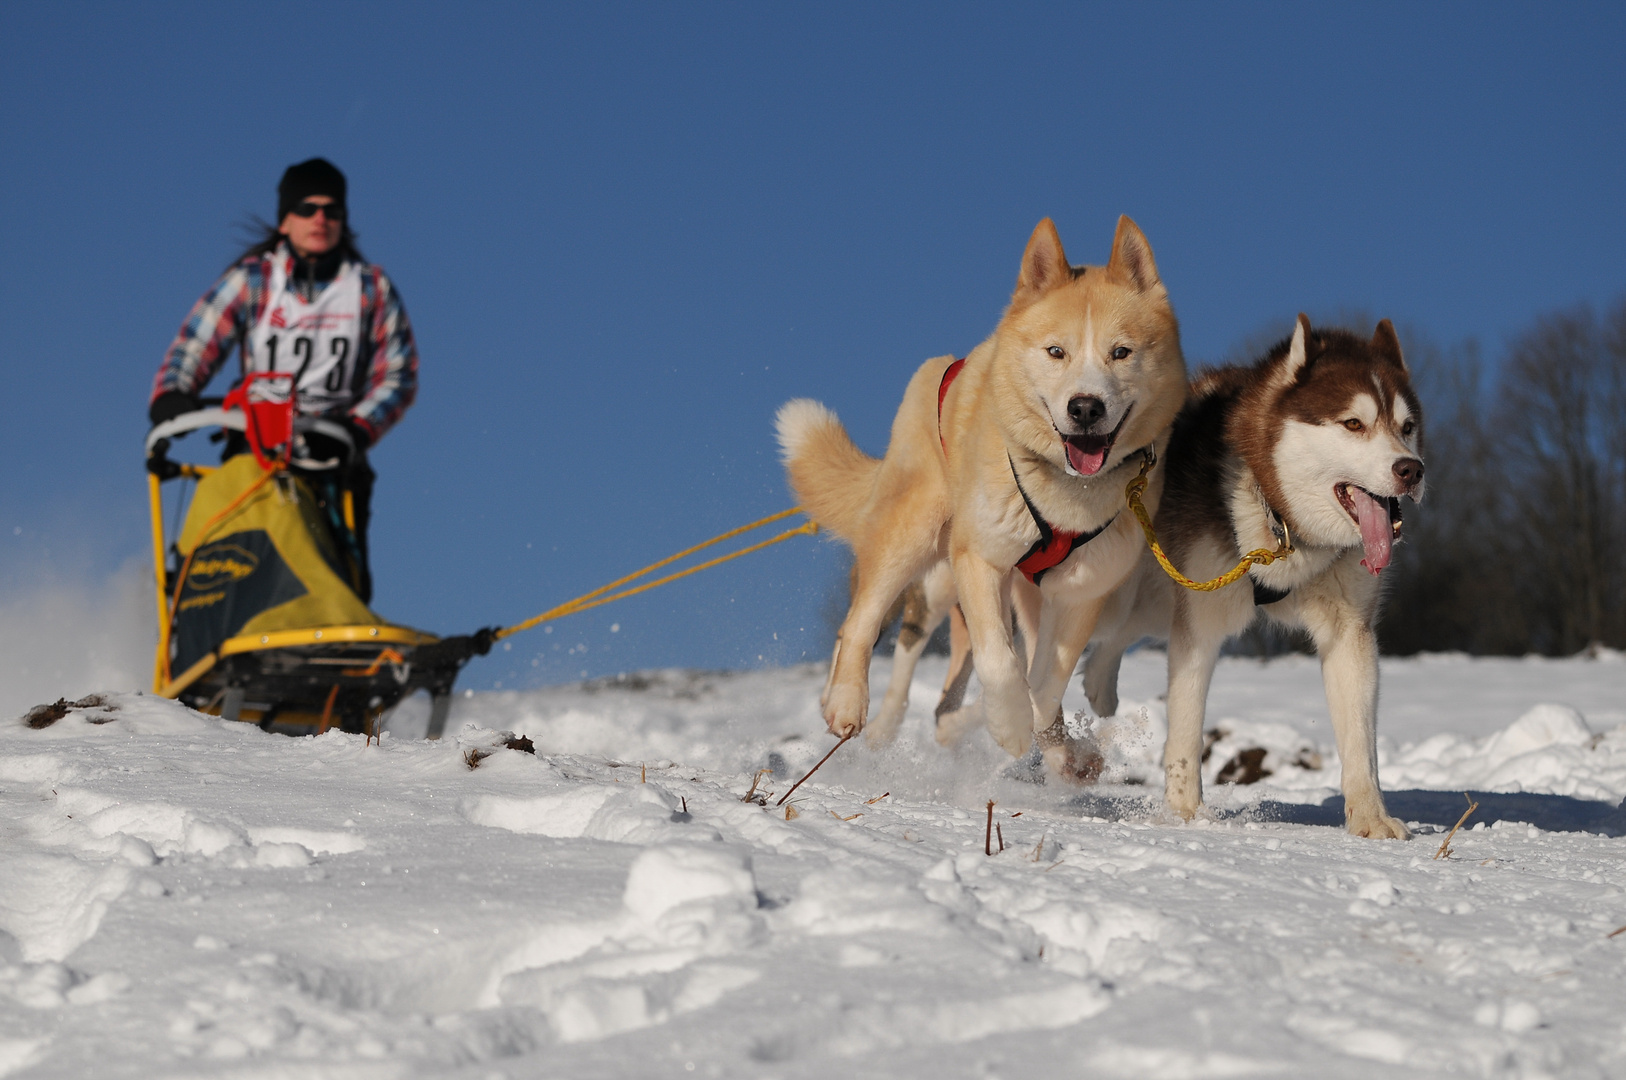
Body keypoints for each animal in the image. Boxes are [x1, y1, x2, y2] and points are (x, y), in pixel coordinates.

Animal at [780, 219, 1190, 777]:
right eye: (1056, 352)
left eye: (1121, 352)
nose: (1085, 407)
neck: (1065, 489)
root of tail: (945, 365)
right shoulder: (979, 558)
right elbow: (999, 661)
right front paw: (1011, 725)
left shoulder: (1082, 590)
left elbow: (1047, 679)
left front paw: (1044, 732)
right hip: (920, 540)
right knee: (866, 623)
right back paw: (850, 704)